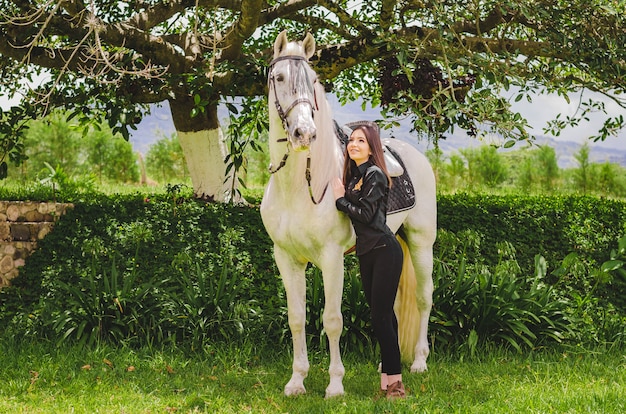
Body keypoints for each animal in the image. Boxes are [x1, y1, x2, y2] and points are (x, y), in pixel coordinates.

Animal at [258, 29, 434, 398]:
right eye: (278, 78)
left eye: (312, 80)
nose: (304, 133)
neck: (298, 188)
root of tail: (414, 154)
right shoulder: (286, 258)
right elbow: (296, 318)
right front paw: (297, 380)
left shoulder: (331, 258)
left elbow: (332, 320)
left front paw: (335, 385)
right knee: (390, 308)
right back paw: (386, 366)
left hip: (422, 243)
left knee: (424, 298)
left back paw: (419, 362)